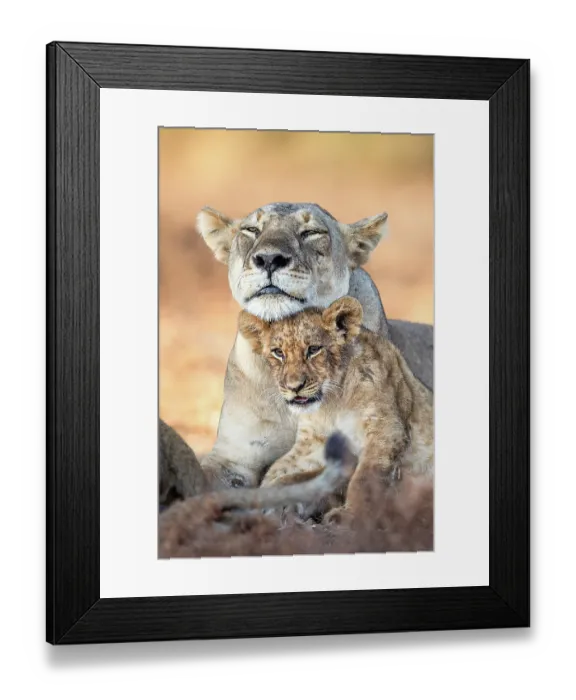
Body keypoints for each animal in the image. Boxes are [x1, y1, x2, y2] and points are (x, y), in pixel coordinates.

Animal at [238, 296, 434, 522]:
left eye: (314, 349)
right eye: (278, 353)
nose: (294, 387)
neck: (332, 405)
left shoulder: (385, 430)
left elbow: (365, 478)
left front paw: (351, 516)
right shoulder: (313, 442)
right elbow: (286, 472)